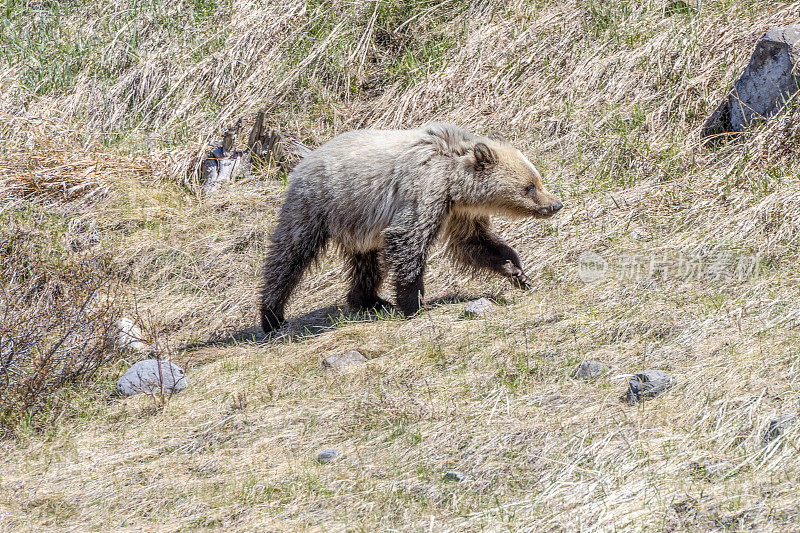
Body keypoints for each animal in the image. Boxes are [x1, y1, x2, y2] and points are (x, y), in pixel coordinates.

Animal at [260, 122, 564, 332]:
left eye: (537, 179)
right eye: (529, 187)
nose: (555, 204)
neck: (454, 184)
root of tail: (302, 162)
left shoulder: (459, 214)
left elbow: (474, 244)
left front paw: (516, 271)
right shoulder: (423, 192)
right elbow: (409, 241)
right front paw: (413, 303)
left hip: (359, 225)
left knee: (366, 263)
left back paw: (369, 300)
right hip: (318, 205)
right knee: (289, 256)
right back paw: (272, 315)